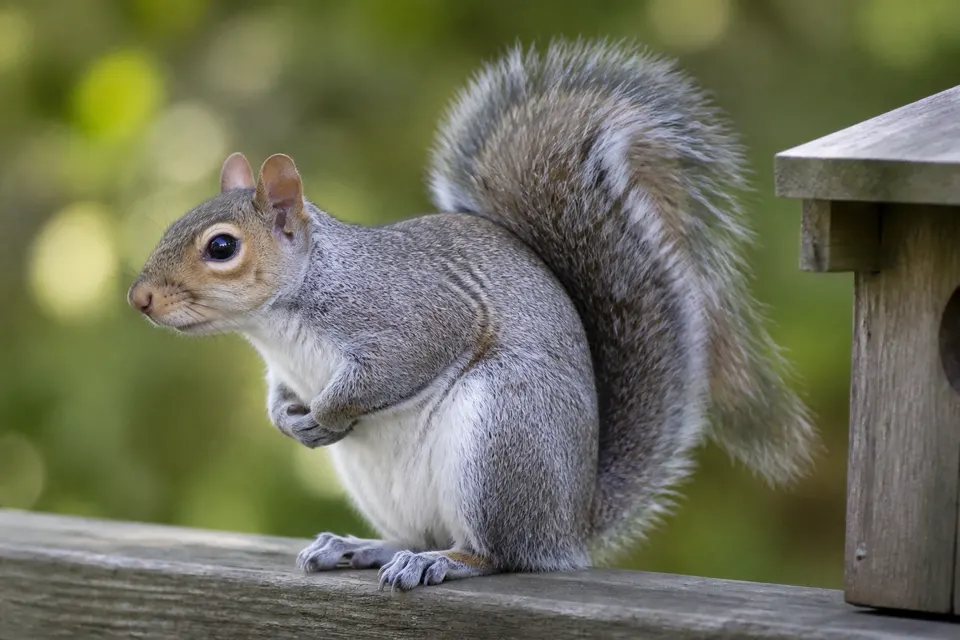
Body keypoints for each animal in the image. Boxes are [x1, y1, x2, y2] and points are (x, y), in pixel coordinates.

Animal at [128, 39, 816, 591]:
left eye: (222, 247)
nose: (139, 299)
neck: (282, 321)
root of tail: (569, 524)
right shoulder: (283, 366)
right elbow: (278, 392)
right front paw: (285, 419)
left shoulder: (414, 316)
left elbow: (391, 369)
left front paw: (326, 414)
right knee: (420, 532)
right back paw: (359, 547)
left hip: (502, 434)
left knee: (496, 553)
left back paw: (444, 562)